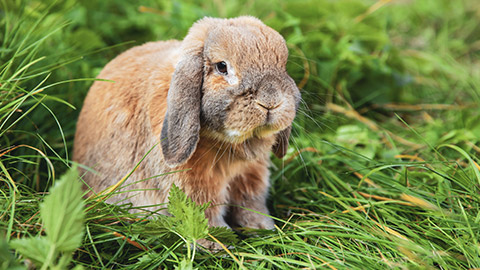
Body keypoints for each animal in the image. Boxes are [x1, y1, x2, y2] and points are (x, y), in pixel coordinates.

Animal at [72, 15, 300, 230]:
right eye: (222, 67)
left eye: (283, 65)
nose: (270, 101)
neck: (227, 145)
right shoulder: (194, 187)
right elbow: (204, 217)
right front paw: (215, 242)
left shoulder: (251, 177)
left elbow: (251, 206)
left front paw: (263, 228)